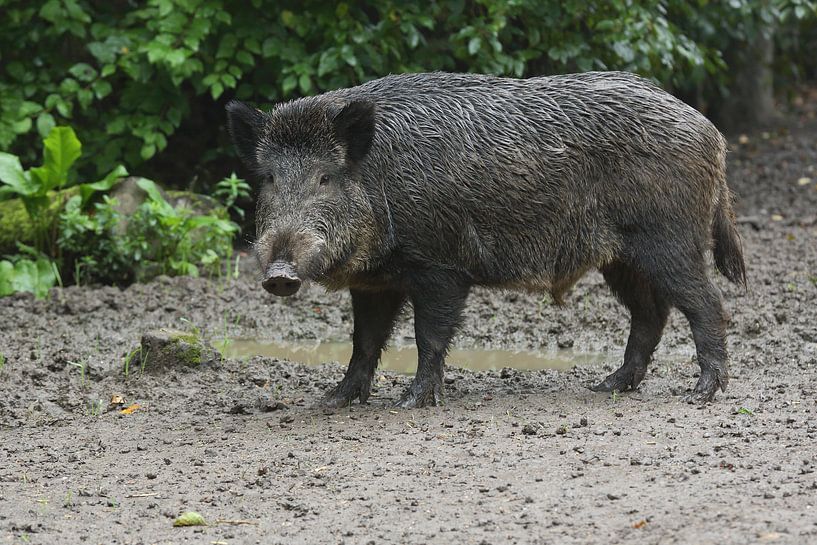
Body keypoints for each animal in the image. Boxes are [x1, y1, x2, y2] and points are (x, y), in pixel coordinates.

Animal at [226, 71, 746, 408]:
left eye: (325, 178)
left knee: (707, 303)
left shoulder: (440, 266)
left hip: (669, 239)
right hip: (620, 258)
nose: (279, 274)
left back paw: (700, 394)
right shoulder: (375, 282)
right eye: (268, 178)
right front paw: (333, 401)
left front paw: (411, 403)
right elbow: (365, 339)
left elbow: (429, 335)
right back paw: (607, 387)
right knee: (651, 314)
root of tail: (711, 131)